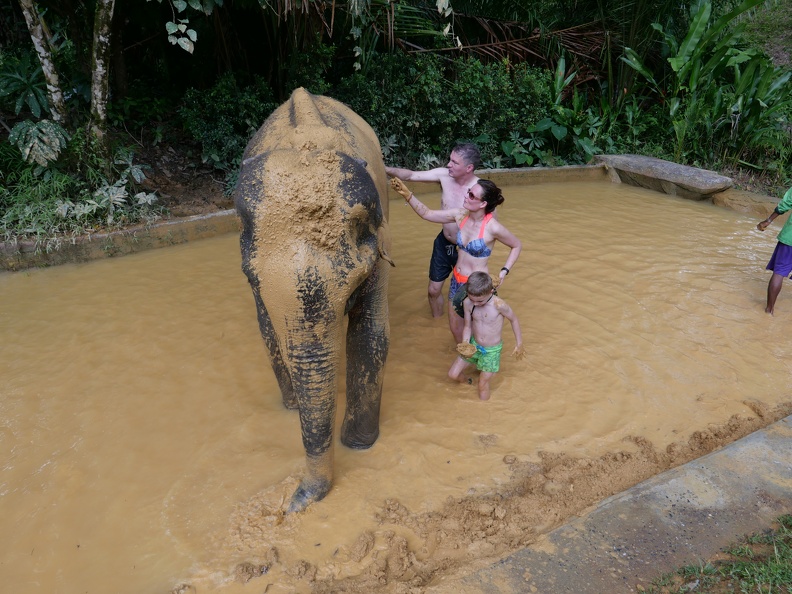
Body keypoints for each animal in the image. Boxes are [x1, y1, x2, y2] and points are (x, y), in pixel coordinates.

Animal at [235, 85, 396, 512]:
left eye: (353, 283)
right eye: (250, 277)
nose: (292, 503)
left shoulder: (378, 243)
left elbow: (371, 335)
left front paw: (359, 446)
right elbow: (268, 332)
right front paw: (292, 407)